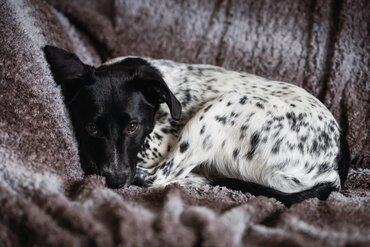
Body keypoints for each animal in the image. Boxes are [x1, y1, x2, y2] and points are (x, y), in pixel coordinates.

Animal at [43, 45, 350, 206]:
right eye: (91, 128)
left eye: (133, 127)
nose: (116, 180)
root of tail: (333, 170)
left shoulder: (161, 141)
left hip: (220, 108)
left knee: (162, 175)